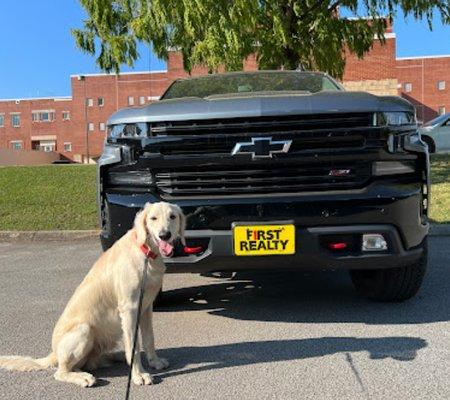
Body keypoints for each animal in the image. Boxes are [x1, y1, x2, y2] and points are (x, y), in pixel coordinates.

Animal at [0, 203, 185, 388]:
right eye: (153, 218)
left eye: (172, 216)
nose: (165, 235)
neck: (146, 253)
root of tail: (54, 353)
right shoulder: (129, 309)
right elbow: (133, 345)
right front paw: (139, 375)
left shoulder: (146, 307)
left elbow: (148, 338)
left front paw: (154, 361)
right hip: (84, 330)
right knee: (61, 371)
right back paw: (83, 377)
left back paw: (115, 357)